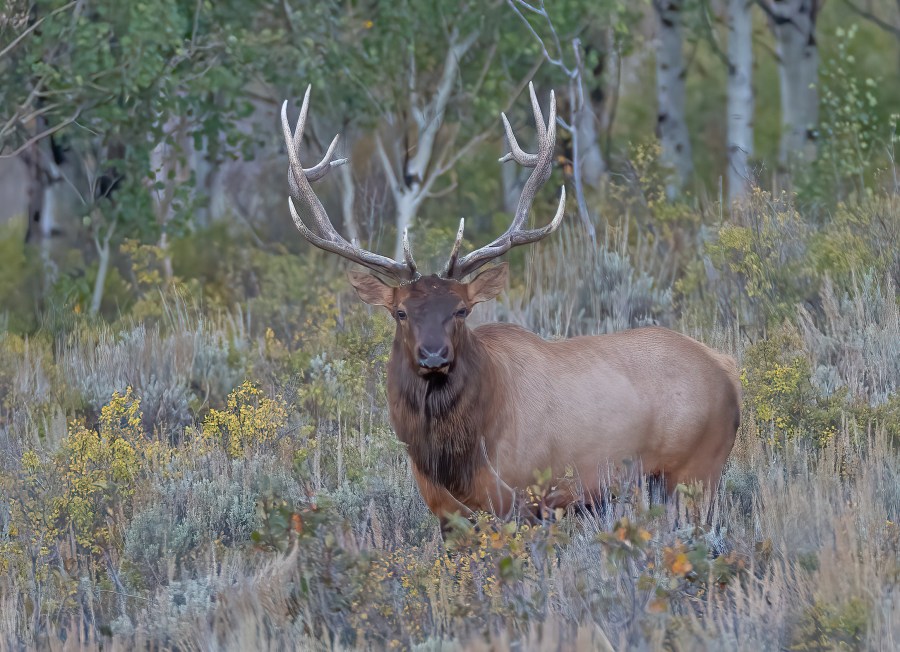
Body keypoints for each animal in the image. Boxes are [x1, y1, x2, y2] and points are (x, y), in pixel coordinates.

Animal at [280, 84, 741, 534]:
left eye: (462, 310)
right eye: (401, 312)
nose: (434, 355)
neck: (454, 461)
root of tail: (727, 367)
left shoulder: (521, 499)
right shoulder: (444, 512)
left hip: (697, 469)